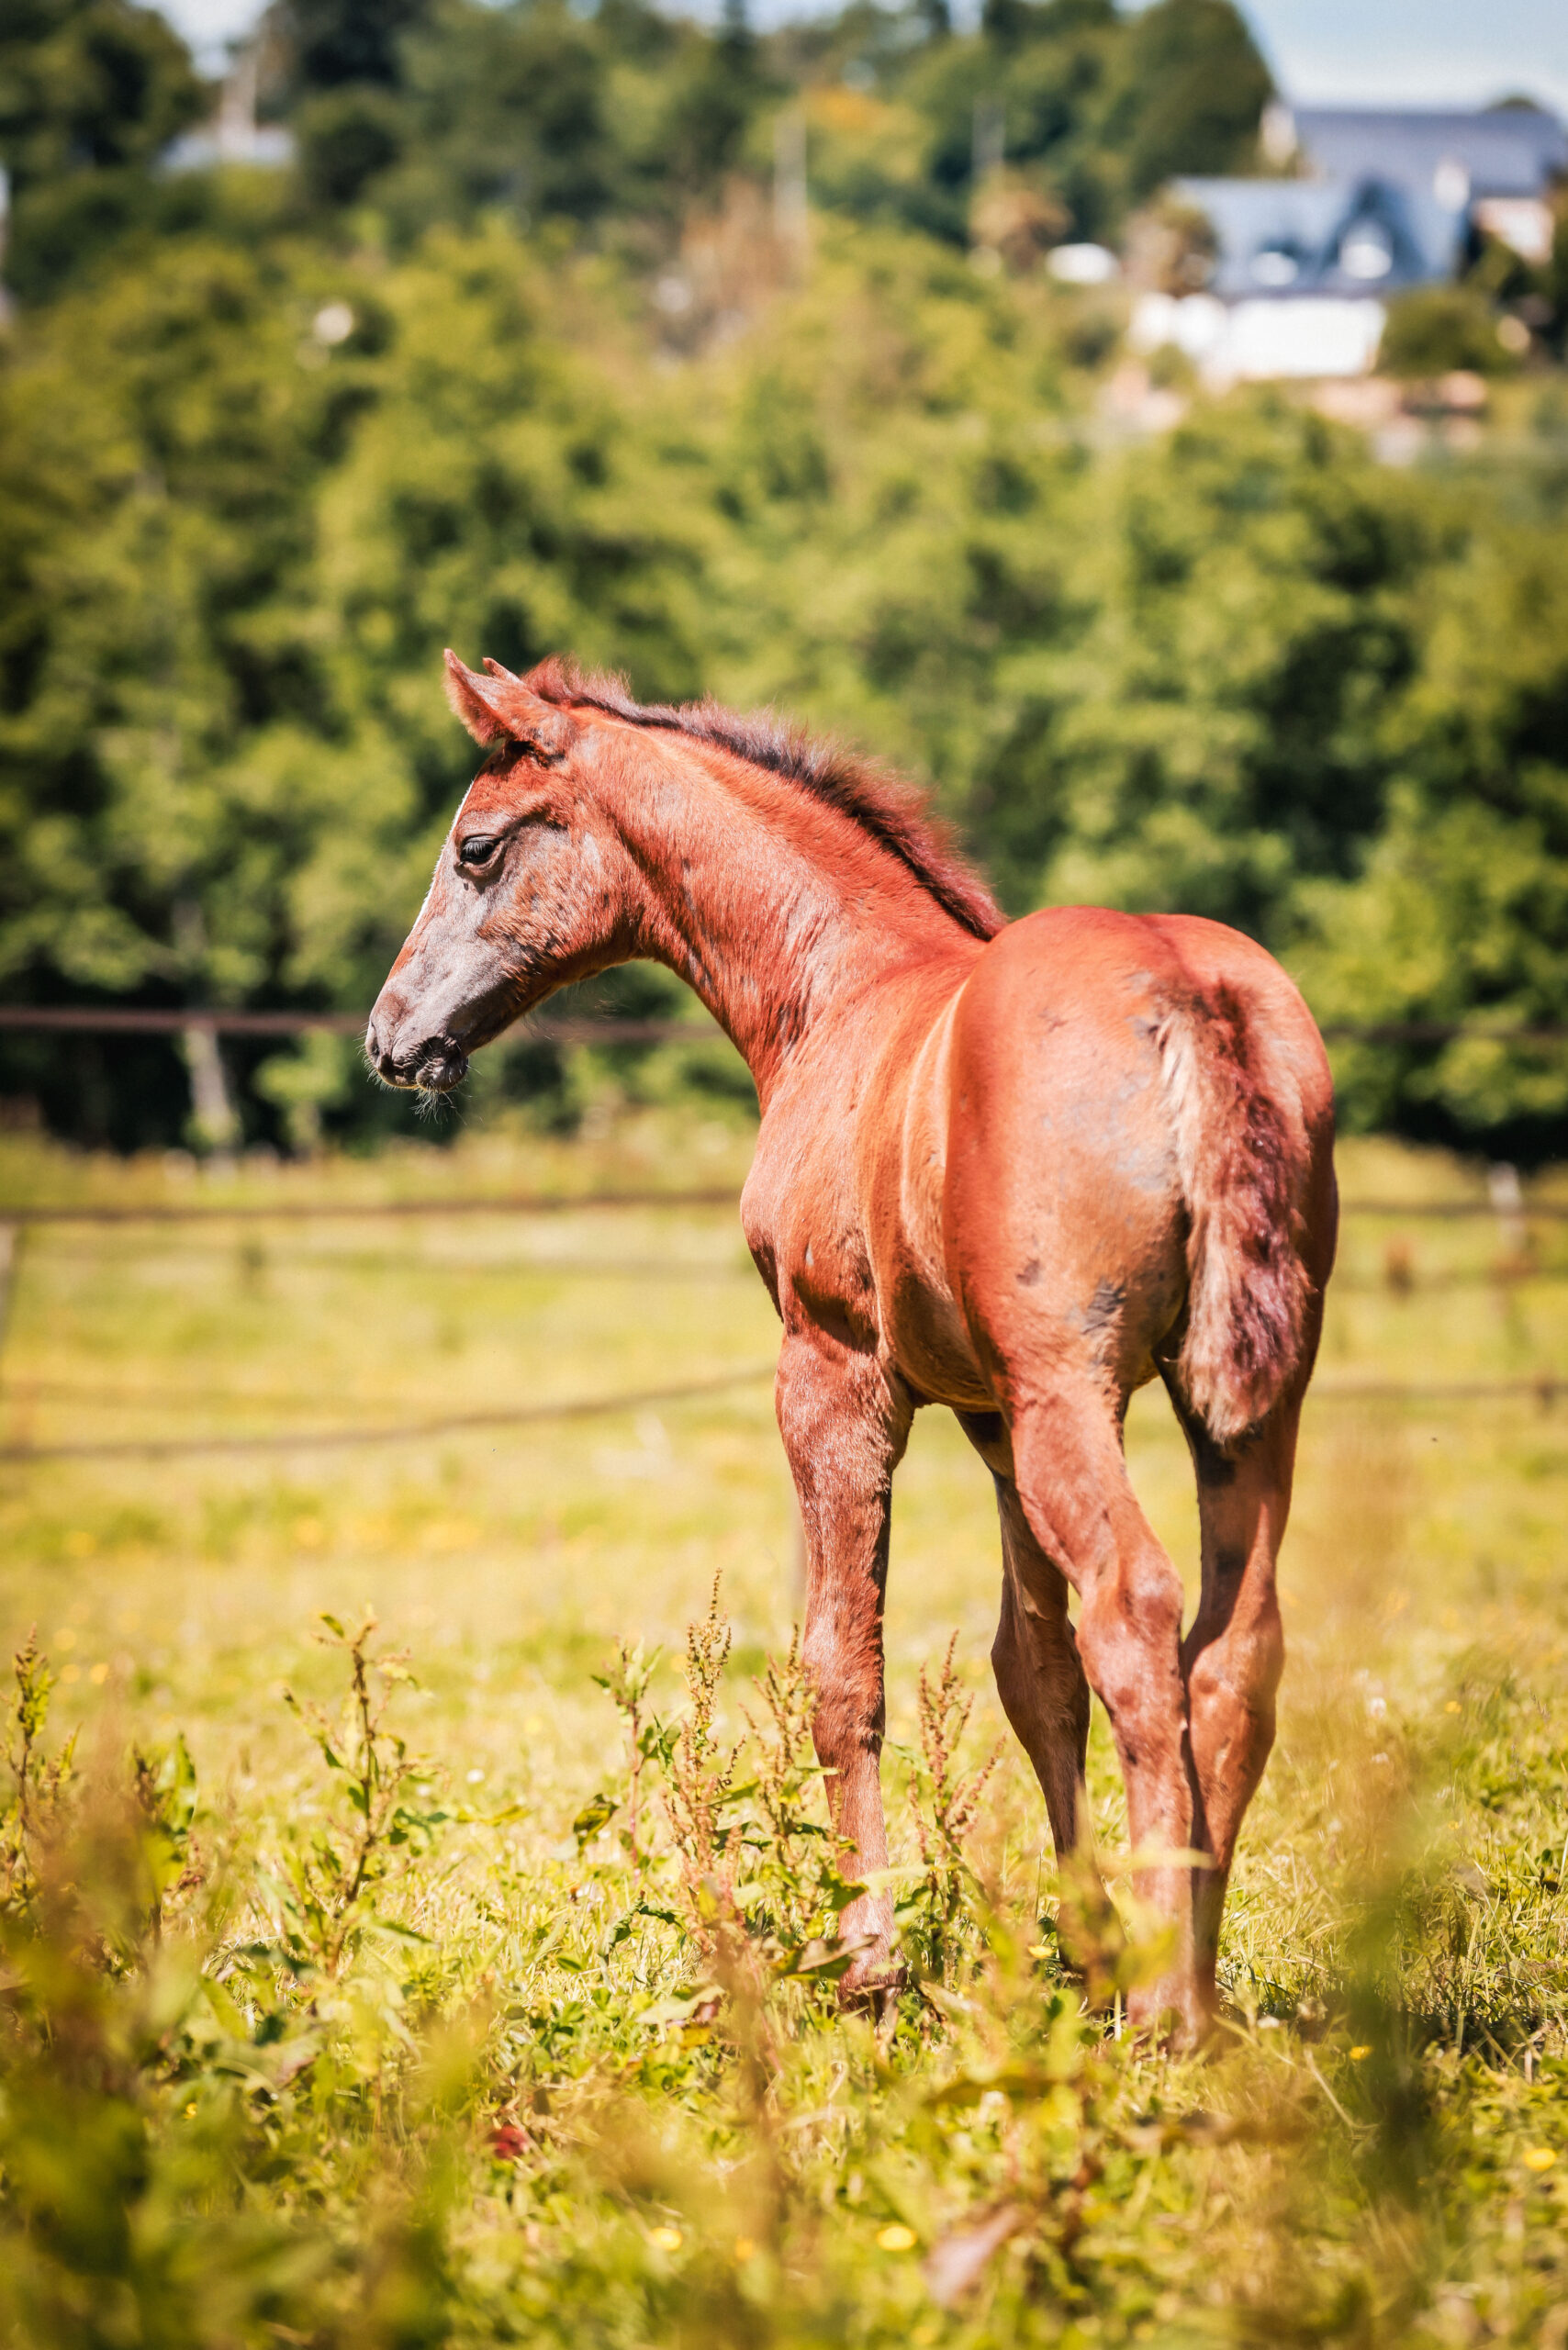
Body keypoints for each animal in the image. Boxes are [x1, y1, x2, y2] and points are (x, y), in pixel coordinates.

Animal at [367, 649, 1337, 2044]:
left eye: (476, 848)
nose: (393, 1039)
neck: (839, 990)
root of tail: (1187, 994)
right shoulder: (989, 1413)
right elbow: (1030, 1669)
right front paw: (1081, 1950)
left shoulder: (834, 1377)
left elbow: (843, 1664)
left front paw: (866, 1966)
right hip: (1246, 1405)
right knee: (1233, 1653)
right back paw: (1186, 1984)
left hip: (1077, 1394)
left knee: (1139, 1620)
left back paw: (1164, 2012)